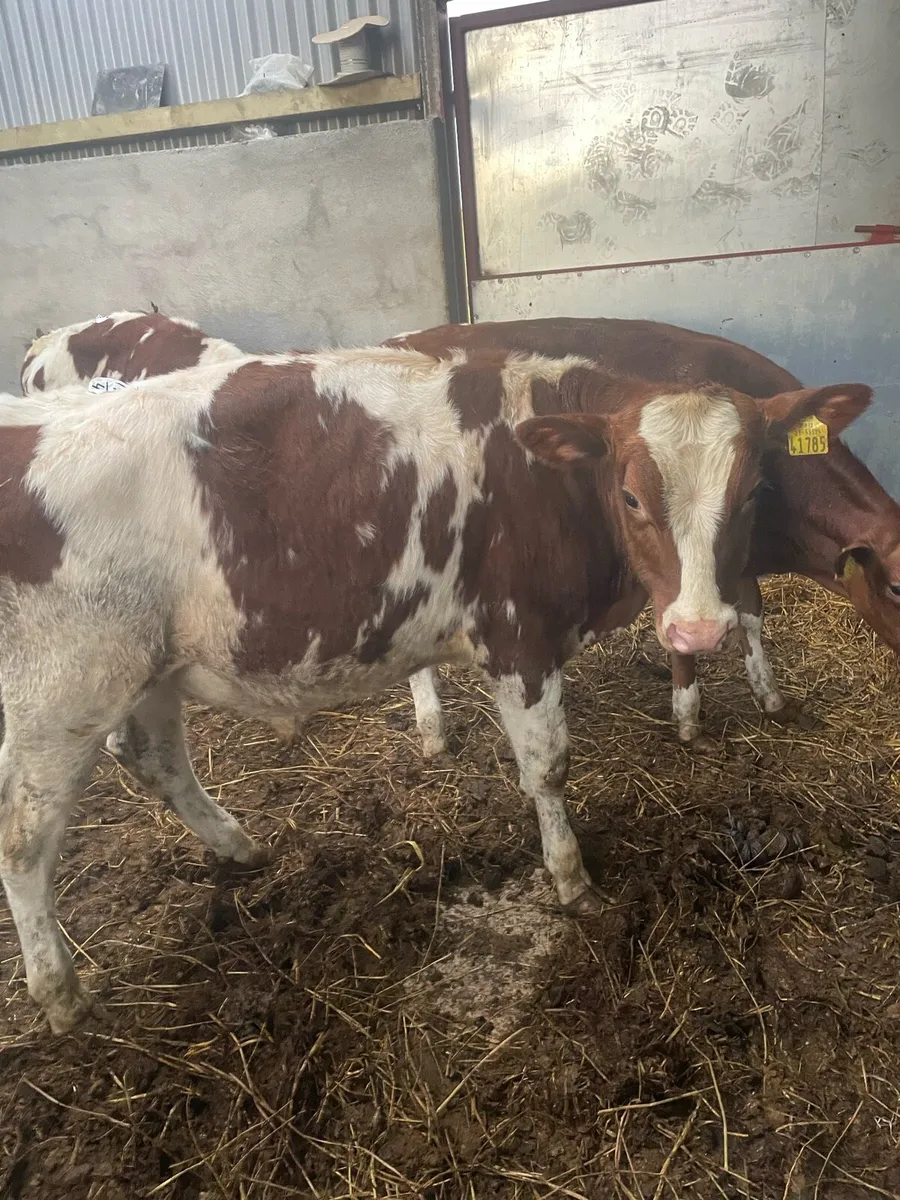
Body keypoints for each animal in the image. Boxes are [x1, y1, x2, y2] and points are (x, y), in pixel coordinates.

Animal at [0, 344, 856, 1032]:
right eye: (634, 497)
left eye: (752, 494)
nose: (700, 629)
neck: (543, 478)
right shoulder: (519, 634)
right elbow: (548, 767)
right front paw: (571, 879)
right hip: (60, 690)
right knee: (24, 840)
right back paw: (61, 995)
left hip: (151, 668)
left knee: (153, 757)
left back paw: (239, 846)